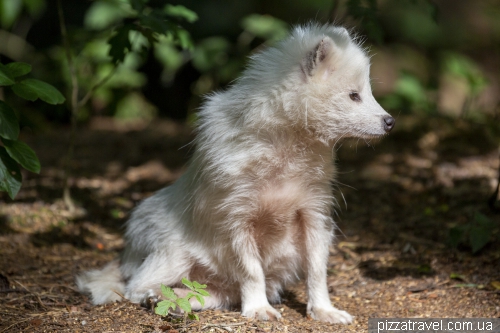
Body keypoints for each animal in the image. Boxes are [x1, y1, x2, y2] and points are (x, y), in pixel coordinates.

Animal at [76, 24, 394, 324]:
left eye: (366, 93)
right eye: (354, 96)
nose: (390, 122)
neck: (286, 150)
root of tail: (126, 253)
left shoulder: (314, 215)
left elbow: (317, 271)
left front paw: (323, 311)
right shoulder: (238, 221)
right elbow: (252, 271)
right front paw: (259, 310)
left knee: (207, 293)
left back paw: (174, 303)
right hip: (172, 256)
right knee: (135, 287)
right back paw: (156, 299)